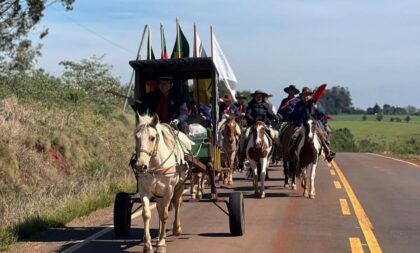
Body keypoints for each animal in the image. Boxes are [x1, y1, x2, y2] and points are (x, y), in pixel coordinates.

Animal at [133, 114, 192, 251]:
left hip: (180, 185)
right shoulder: (144, 189)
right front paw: (147, 244)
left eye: (152, 138)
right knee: (160, 208)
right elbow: (146, 214)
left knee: (176, 203)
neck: (156, 167)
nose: (140, 166)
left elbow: (165, 215)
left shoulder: (168, 191)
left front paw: (161, 241)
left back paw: (176, 229)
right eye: (136, 137)